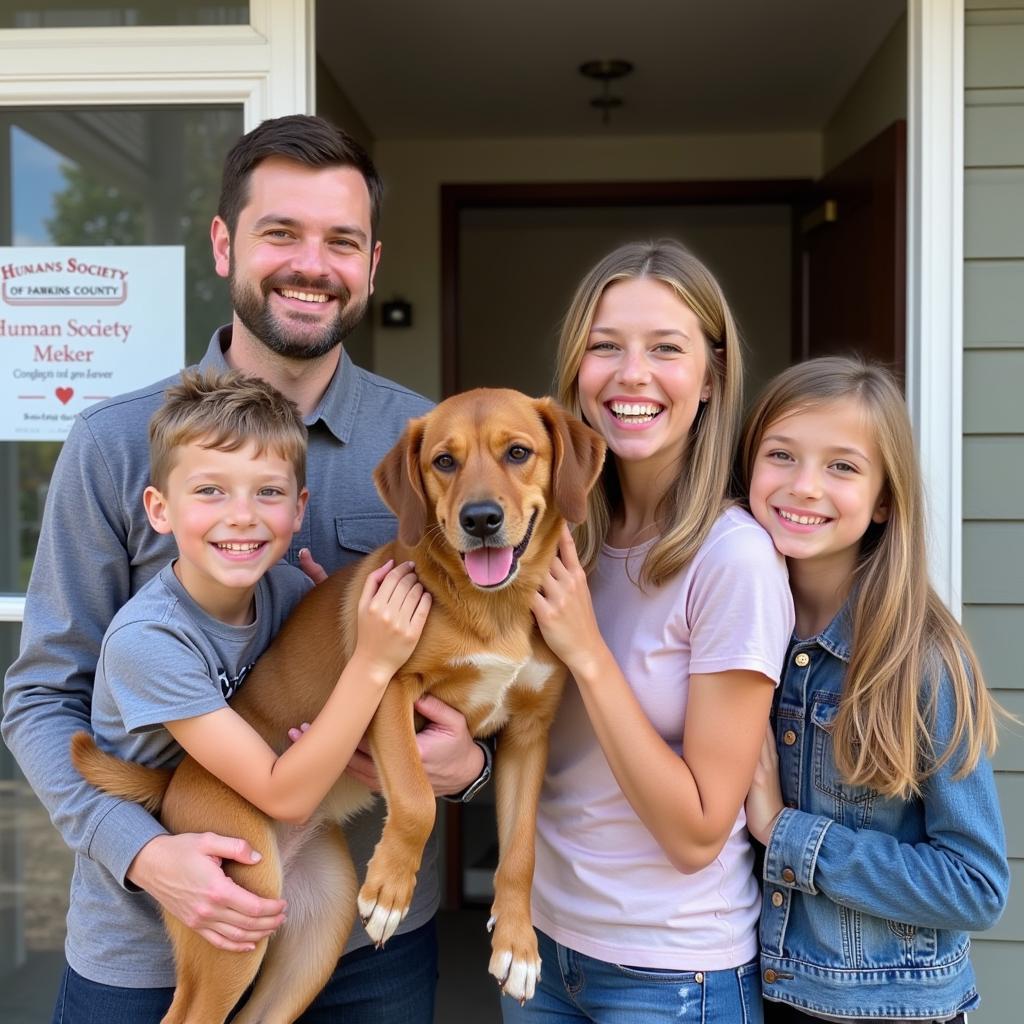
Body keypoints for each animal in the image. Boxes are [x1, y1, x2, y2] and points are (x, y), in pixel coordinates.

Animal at [74, 387, 606, 1024]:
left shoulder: (529, 734)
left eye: (519, 453)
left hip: (314, 933)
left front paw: (518, 947)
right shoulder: (390, 688)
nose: (480, 520)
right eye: (444, 462)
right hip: (234, 917)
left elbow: (522, 850)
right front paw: (391, 891)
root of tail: (177, 779)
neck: (495, 608)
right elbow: (416, 799)